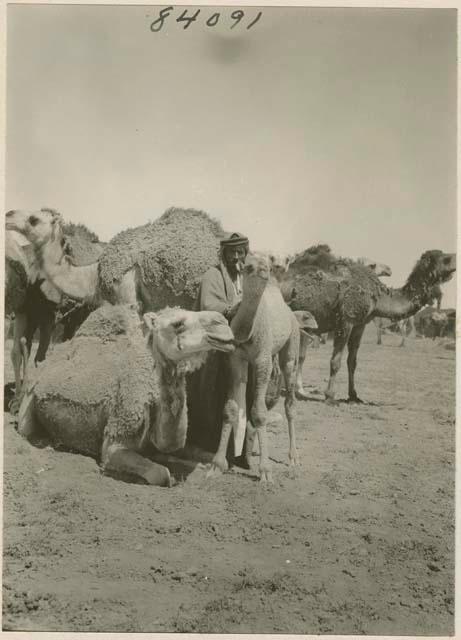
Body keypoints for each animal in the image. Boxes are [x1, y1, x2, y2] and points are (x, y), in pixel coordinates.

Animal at [16, 304, 235, 484]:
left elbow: (209, 458)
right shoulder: (115, 441)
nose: (223, 324)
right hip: (30, 396)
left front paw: (211, 467)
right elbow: (161, 474)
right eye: (177, 324)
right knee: (24, 429)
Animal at [209, 252, 306, 482]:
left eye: (266, 267)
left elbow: (260, 412)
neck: (248, 332)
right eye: (248, 266)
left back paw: (293, 457)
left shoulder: (263, 359)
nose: (262, 269)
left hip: (291, 345)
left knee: (289, 400)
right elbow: (230, 409)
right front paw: (217, 465)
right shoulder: (235, 358)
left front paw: (265, 471)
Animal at [280, 242, 452, 402]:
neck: (377, 296)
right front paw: (329, 395)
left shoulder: (359, 324)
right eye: (446, 259)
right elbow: (336, 361)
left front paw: (353, 395)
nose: (389, 269)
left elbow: (352, 361)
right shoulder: (346, 321)